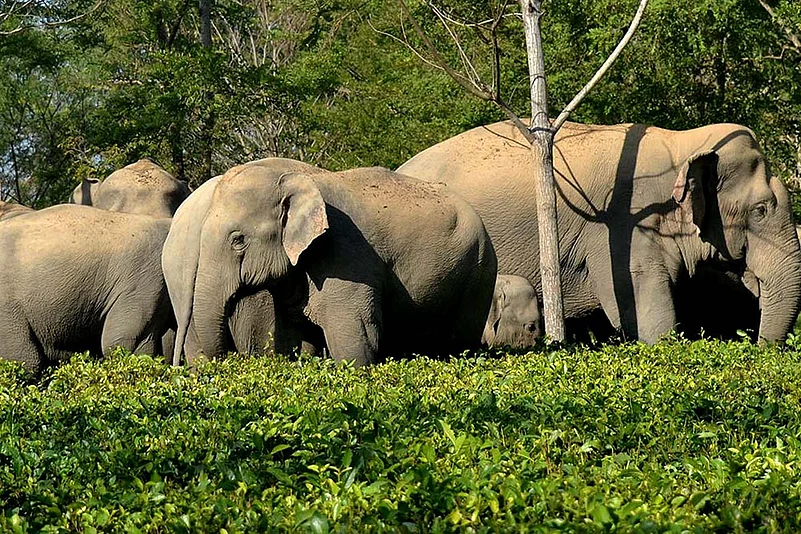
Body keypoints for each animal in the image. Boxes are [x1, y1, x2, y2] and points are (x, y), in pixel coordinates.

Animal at [162, 157, 497, 366]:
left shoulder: (346, 258)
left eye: (238, 240)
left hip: (479, 272)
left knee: (460, 339)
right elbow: (298, 337)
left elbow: (355, 337)